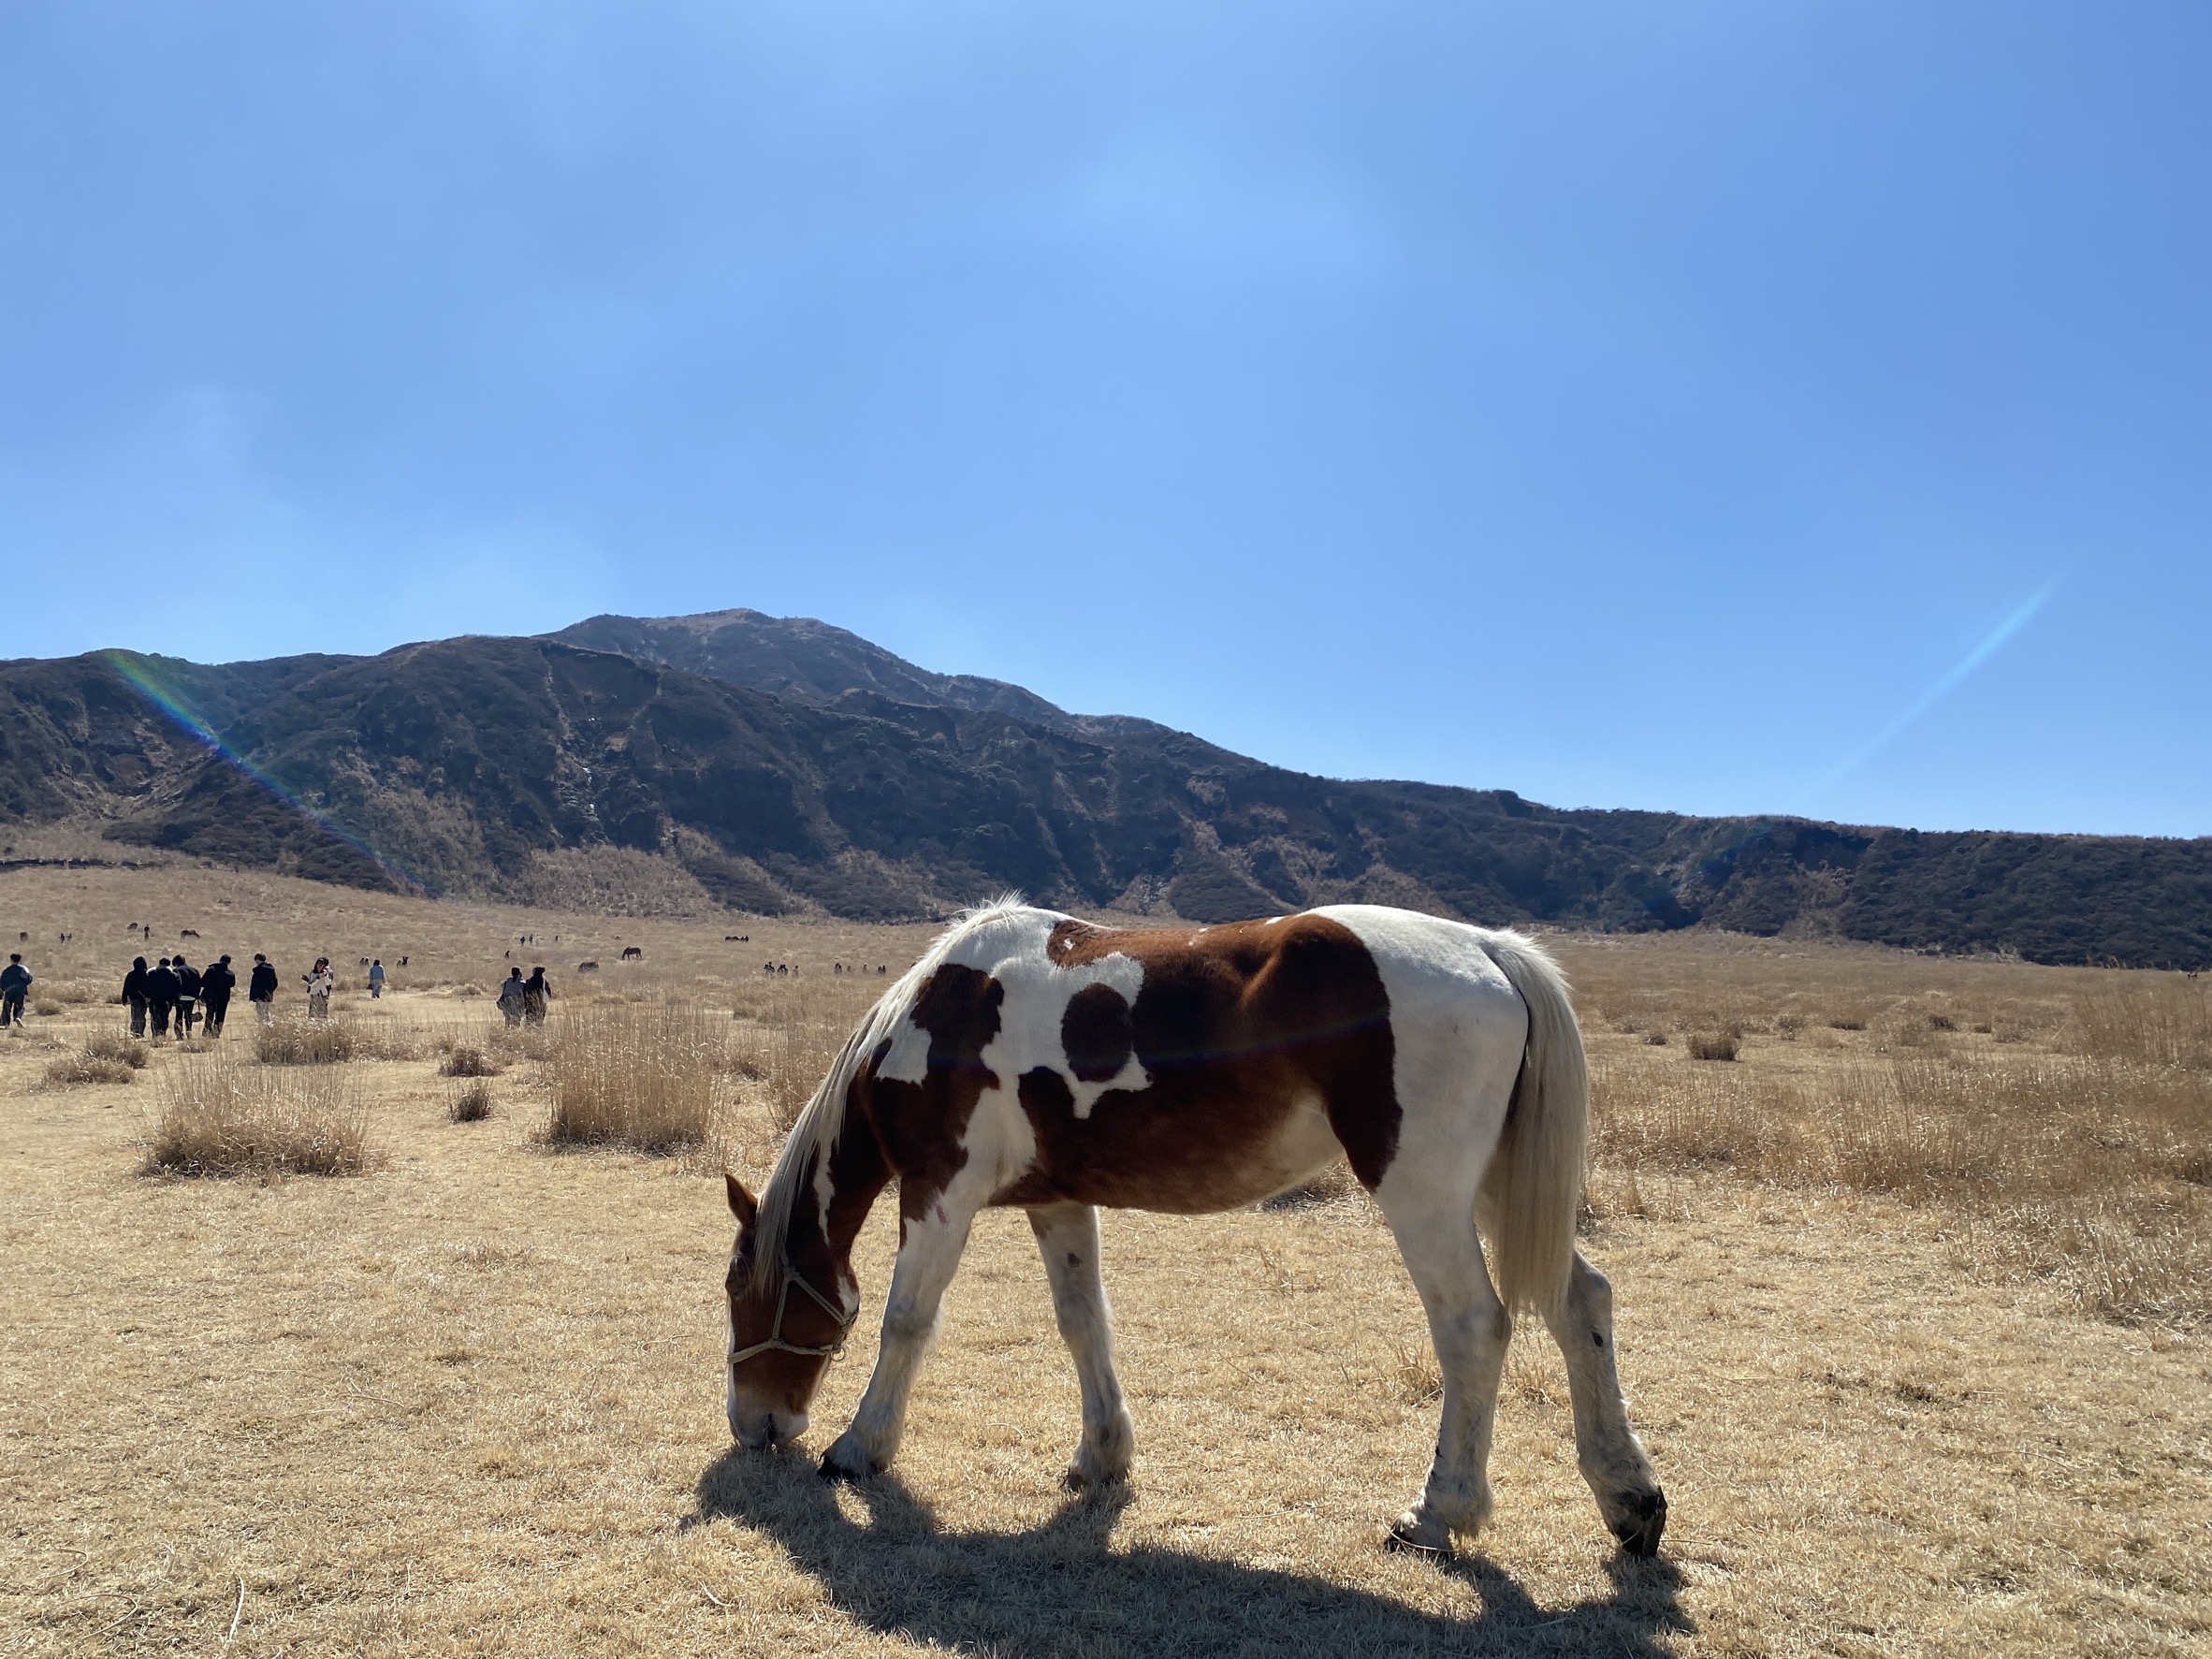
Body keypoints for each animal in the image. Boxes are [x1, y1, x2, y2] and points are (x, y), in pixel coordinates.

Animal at [721, 898, 1667, 1558]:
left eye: (740, 1292)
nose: (751, 1423)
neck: (942, 1015)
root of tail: (1488, 948)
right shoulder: (1056, 1200)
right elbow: (1083, 1323)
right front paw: (1102, 1456)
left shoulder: (938, 1191)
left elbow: (906, 1321)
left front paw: (858, 1447)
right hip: (1499, 1186)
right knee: (1581, 1303)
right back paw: (1630, 1500)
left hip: (1427, 1196)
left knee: (1475, 1327)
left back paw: (1439, 1512)